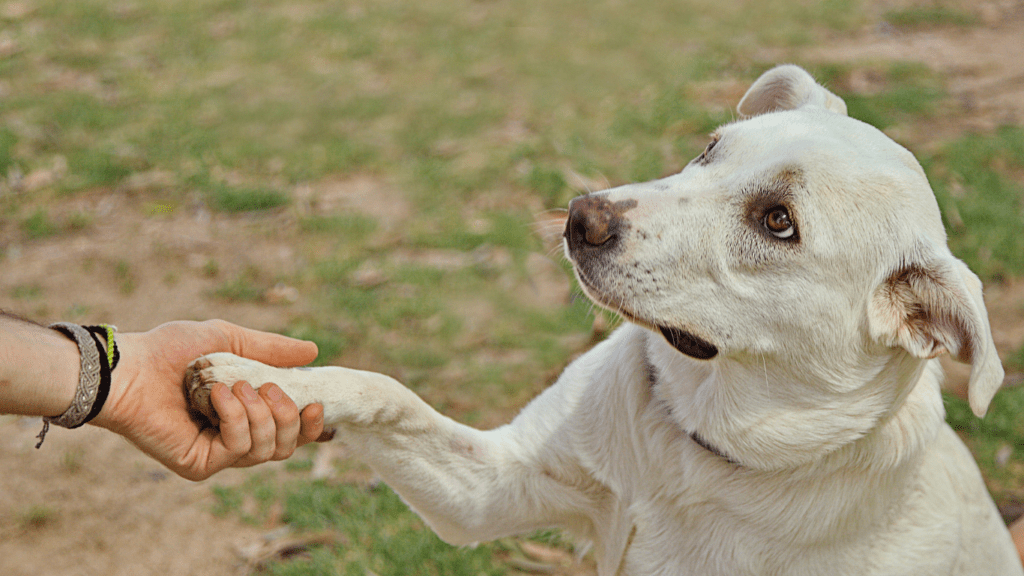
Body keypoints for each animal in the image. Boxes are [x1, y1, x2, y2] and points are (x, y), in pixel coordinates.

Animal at [186, 66, 1024, 573]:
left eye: (778, 221)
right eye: (709, 149)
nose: (580, 216)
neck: (698, 450)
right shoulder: (492, 488)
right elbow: (384, 389)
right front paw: (261, 380)